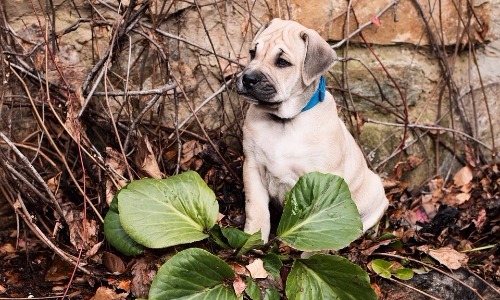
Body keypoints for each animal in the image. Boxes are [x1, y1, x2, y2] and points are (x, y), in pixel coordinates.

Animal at [236, 18, 388, 243]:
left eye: (282, 62)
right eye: (253, 53)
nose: (247, 78)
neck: (284, 121)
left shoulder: (323, 179)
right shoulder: (252, 166)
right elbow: (256, 208)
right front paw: (253, 239)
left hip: (375, 189)